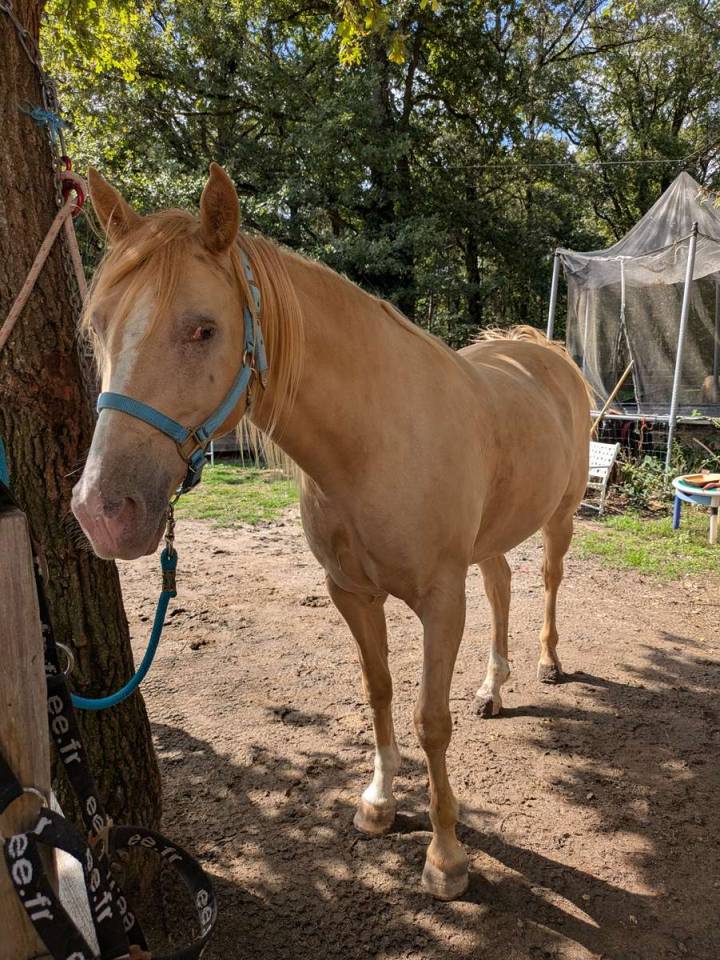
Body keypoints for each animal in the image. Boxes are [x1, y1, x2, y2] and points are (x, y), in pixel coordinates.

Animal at [72, 163, 591, 900]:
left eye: (203, 329)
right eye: (99, 324)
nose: (101, 511)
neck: (371, 443)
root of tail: (541, 350)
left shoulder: (441, 601)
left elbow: (431, 720)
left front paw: (447, 857)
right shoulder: (350, 593)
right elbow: (379, 692)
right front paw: (378, 803)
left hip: (560, 517)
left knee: (546, 581)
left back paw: (547, 664)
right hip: (490, 540)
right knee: (501, 586)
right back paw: (493, 689)